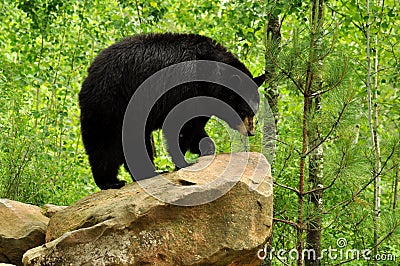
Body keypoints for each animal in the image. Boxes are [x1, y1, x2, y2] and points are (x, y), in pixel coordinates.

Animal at [79, 32, 266, 189]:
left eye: (254, 111)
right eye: (243, 111)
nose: (251, 132)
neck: (210, 77)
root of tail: (90, 73)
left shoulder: (202, 100)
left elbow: (195, 126)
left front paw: (205, 147)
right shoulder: (185, 89)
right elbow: (179, 126)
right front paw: (184, 162)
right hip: (113, 103)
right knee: (106, 143)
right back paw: (112, 181)